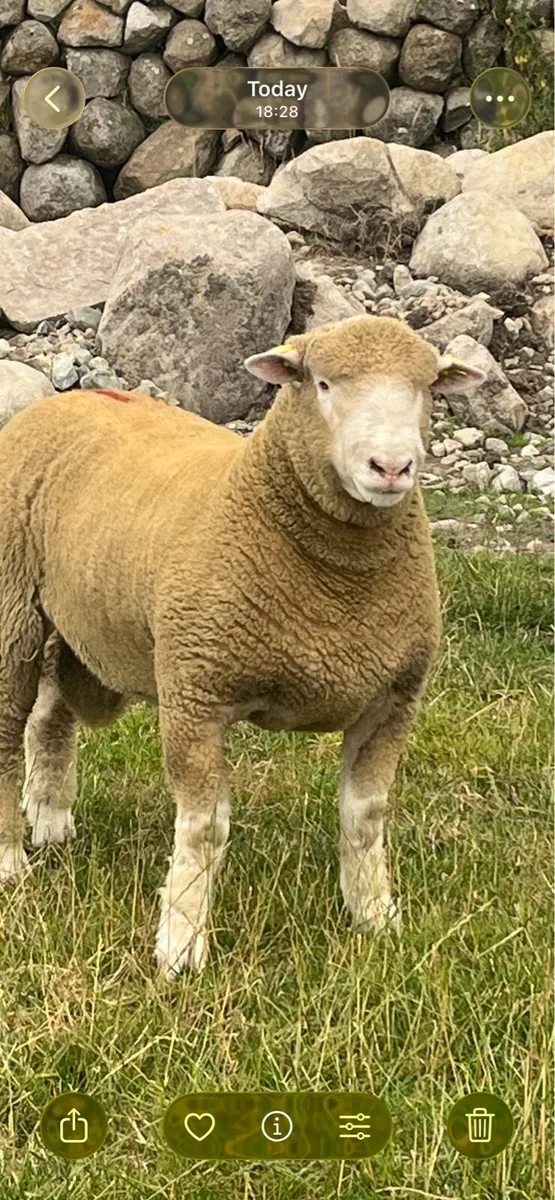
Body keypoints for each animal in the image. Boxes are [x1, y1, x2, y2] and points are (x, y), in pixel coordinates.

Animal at [0, 315, 486, 976]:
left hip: (72, 622)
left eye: (427, 388)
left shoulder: (394, 698)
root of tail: (64, 400)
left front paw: (376, 919)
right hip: (12, 609)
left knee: (50, 717)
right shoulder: (196, 692)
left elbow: (365, 817)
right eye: (323, 383)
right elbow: (204, 829)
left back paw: (50, 820)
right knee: (6, 733)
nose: (391, 467)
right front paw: (181, 946)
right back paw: (11, 864)